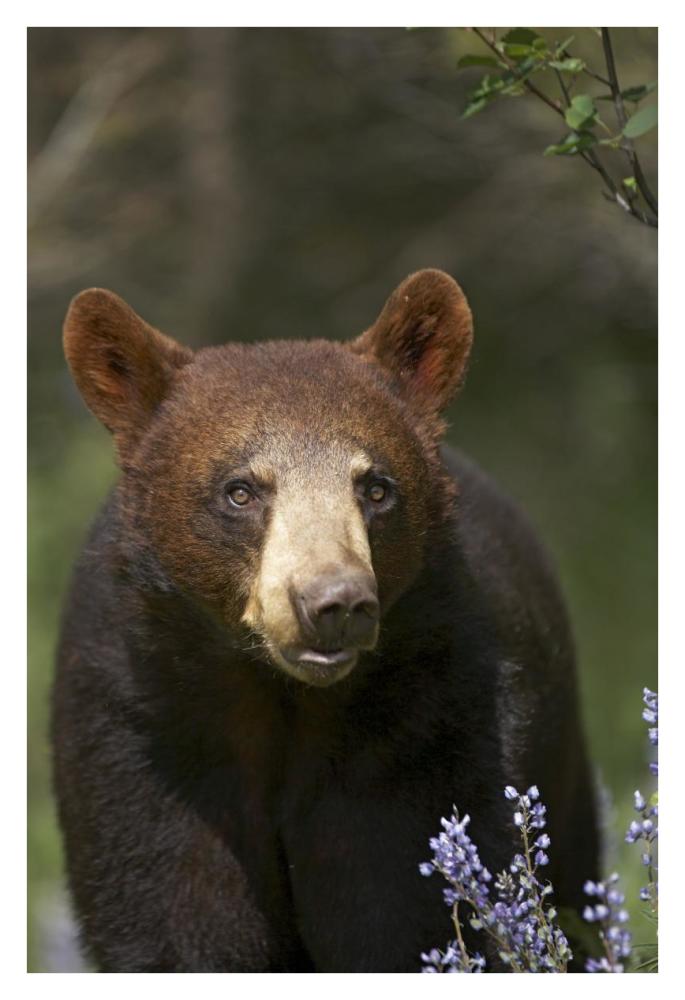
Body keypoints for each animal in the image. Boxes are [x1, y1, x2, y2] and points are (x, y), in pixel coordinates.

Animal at [52, 269, 599, 972]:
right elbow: (177, 918)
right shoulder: (144, 736)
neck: (281, 700)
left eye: (376, 487)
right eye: (241, 490)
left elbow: (402, 914)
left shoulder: (424, 731)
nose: (334, 603)